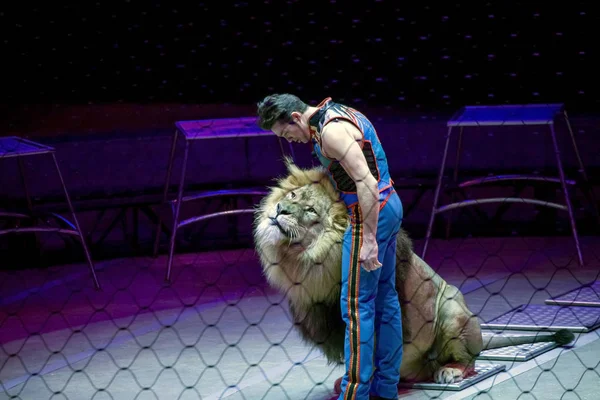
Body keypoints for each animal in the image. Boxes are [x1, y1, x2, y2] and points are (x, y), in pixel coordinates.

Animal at [251, 159, 576, 390]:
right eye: (292, 194)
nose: (280, 210)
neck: (308, 262)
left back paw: (449, 371)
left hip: (451, 310)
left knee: (468, 361)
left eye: (309, 210)